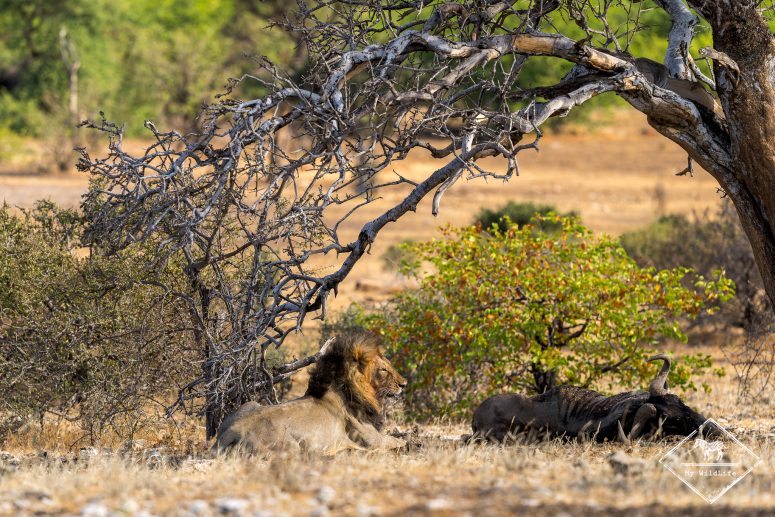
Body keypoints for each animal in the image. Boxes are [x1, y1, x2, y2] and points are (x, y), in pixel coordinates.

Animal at [213, 331, 408, 456]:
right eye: (383, 370)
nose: (404, 384)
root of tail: (232, 430)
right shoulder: (371, 439)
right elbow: (397, 441)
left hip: (249, 404)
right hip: (290, 447)